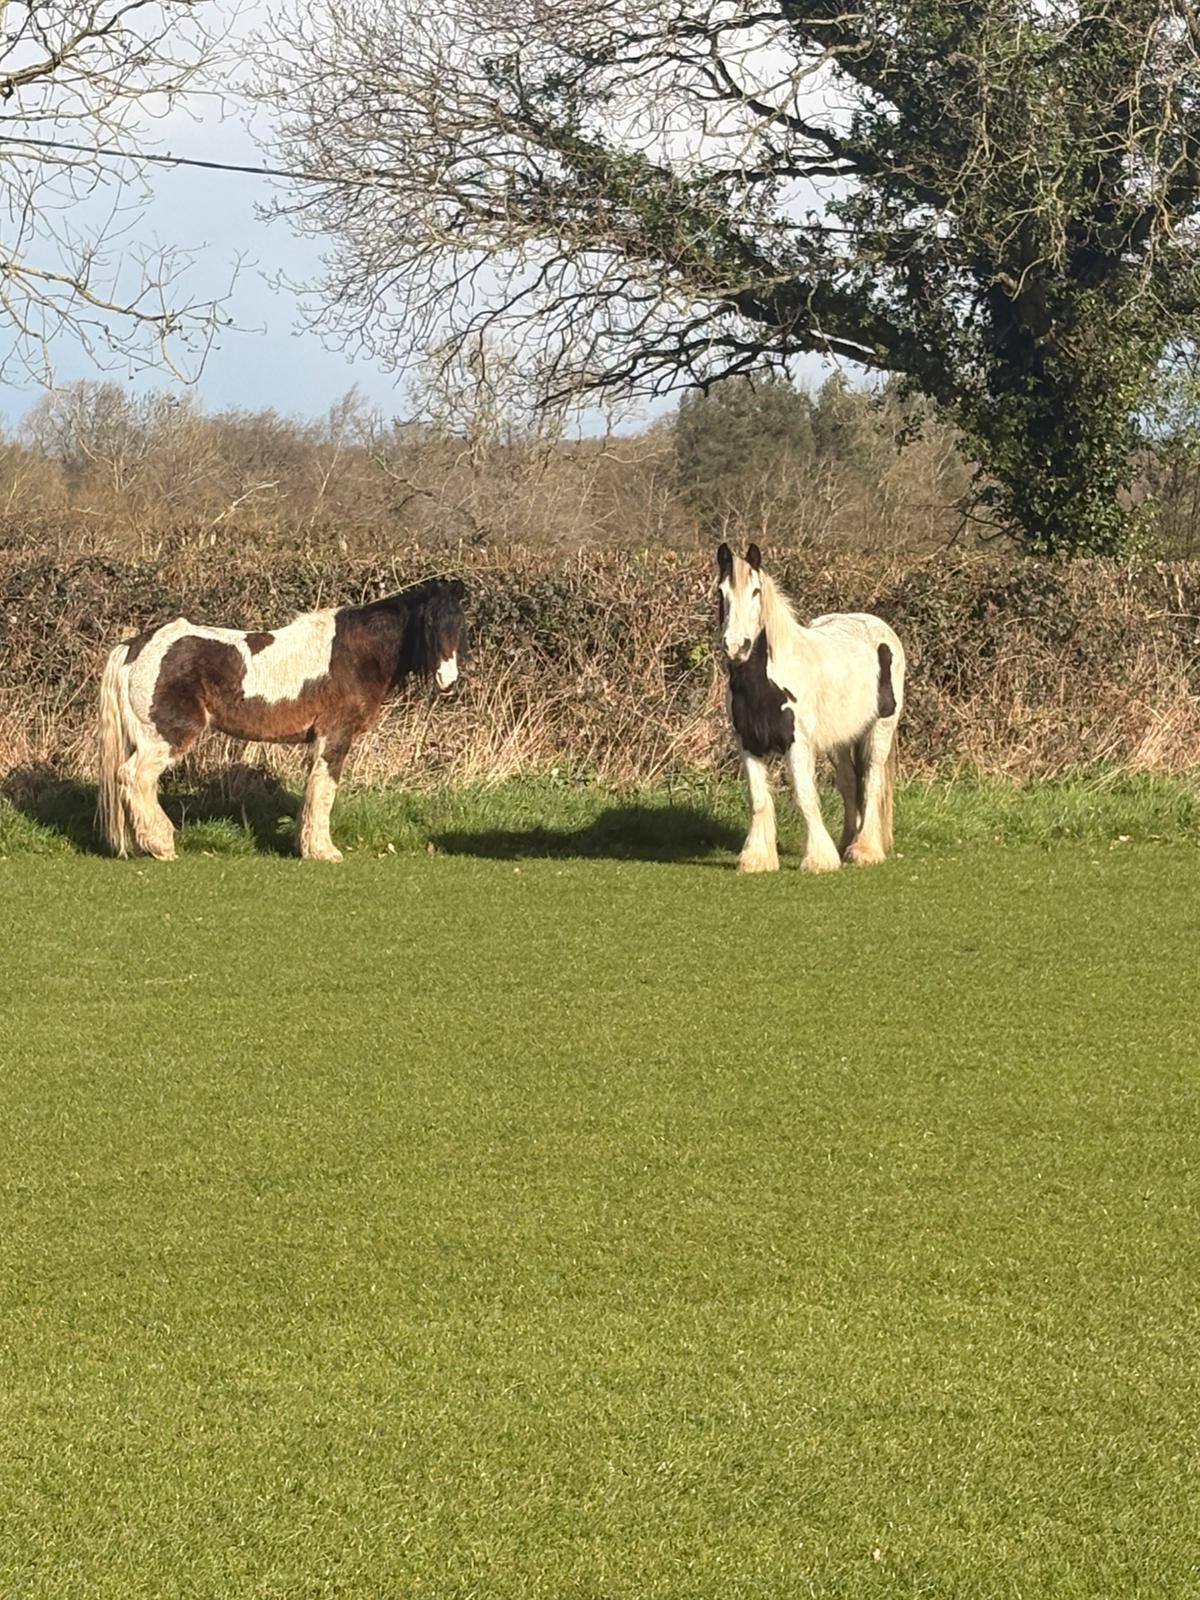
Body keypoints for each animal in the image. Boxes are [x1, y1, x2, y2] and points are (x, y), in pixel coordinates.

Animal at [96, 577, 466, 862]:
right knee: (134, 778)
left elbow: (313, 790)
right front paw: (324, 851)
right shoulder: (335, 735)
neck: (356, 653)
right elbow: (325, 790)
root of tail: (135, 647)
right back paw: (162, 846)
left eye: (459, 624)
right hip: (166, 736)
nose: (447, 680)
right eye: (429, 624)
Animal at [716, 542, 904, 874]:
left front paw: (818, 859)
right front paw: (756, 858)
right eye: (720, 592)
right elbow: (758, 799)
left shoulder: (798, 743)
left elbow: (805, 796)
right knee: (849, 783)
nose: (736, 647)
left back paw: (864, 850)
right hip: (840, 739)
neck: (766, 683)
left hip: (881, 729)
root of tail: (881, 629)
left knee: (871, 781)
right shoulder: (748, 743)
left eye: (756, 591)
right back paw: (846, 843)